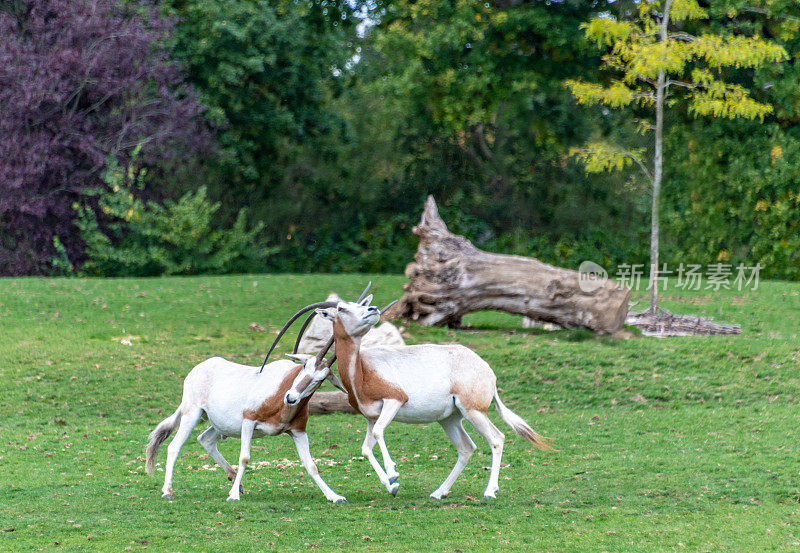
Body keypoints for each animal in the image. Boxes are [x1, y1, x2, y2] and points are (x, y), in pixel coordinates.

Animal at [145, 336, 350, 500]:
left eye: (321, 379)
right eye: (305, 366)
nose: (291, 398)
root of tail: (198, 369)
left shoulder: (298, 431)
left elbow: (311, 465)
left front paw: (335, 496)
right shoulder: (248, 421)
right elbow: (244, 457)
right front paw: (233, 496)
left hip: (222, 425)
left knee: (205, 439)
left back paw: (235, 480)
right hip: (192, 413)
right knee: (174, 446)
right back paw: (168, 491)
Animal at [274, 298, 552, 500]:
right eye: (342, 308)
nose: (373, 309)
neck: (362, 369)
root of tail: (486, 369)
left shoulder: (395, 401)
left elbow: (379, 435)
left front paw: (394, 474)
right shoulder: (371, 417)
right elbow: (365, 448)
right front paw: (391, 485)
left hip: (474, 411)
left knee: (496, 438)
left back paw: (490, 492)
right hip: (450, 419)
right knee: (466, 447)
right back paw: (439, 492)